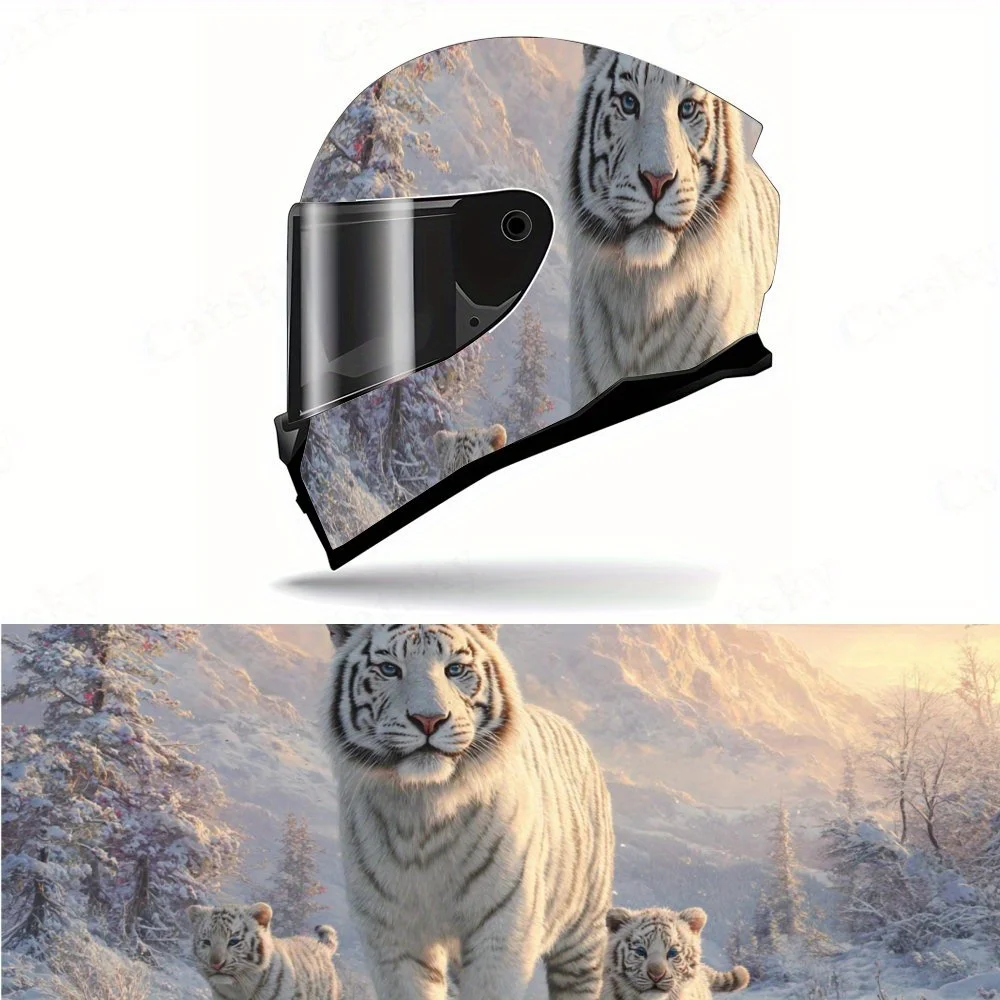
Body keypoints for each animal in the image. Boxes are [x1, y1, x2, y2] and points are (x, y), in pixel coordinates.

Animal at [324, 624, 615, 1000]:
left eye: (455, 669)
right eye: (389, 669)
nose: (428, 719)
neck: (424, 808)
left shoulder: (503, 928)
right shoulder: (393, 936)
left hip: (582, 937)